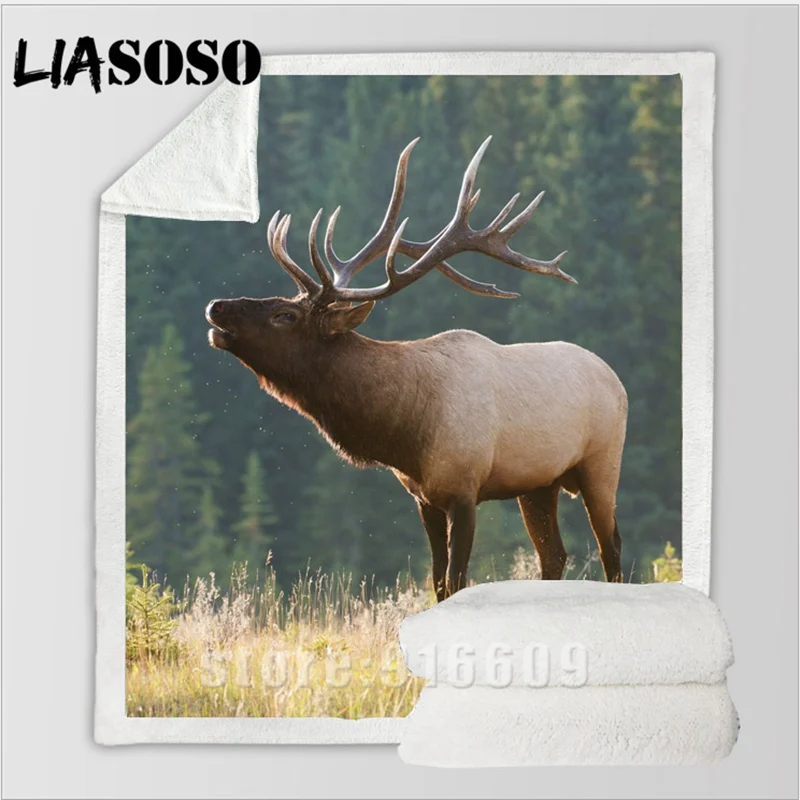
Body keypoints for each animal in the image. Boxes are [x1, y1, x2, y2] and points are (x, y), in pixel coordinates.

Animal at [206, 137, 628, 601]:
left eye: (286, 315)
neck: (405, 432)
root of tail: (617, 379)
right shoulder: (424, 498)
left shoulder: (465, 489)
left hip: (601, 462)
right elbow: (439, 582)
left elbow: (458, 579)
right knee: (554, 555)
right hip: (539, 484)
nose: (216, 305)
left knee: (611, 547)